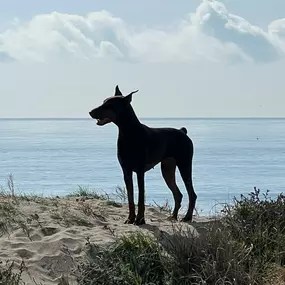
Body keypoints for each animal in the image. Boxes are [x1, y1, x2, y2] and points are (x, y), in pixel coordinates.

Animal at [89, 84, 195, 224]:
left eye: (109, 105)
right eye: (103, 101)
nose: (90, 112)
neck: (128, 133)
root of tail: (182, 132)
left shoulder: (140, 171)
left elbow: (140, 197)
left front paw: (140, 219)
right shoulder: (126, 171)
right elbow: (130, 197)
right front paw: (130, 218)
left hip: (184, 164)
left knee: (192, 194)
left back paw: (187, 217)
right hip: (167, 168)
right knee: (178, 193)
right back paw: (173, 216)